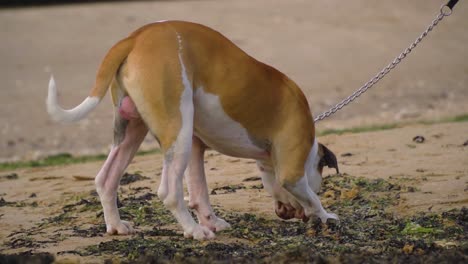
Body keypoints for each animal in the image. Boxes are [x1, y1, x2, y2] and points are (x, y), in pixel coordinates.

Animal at [46, 20, 340, 239]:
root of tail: (135, 37)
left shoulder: (198, 147)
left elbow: (199, 191)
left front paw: (212, 221)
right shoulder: (292, 173)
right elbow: (311, 197)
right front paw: (326, 216)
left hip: (134, 131)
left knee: (106, 179)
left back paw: (118, 226)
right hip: (177, 131)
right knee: (168, 192)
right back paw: (194, 231)